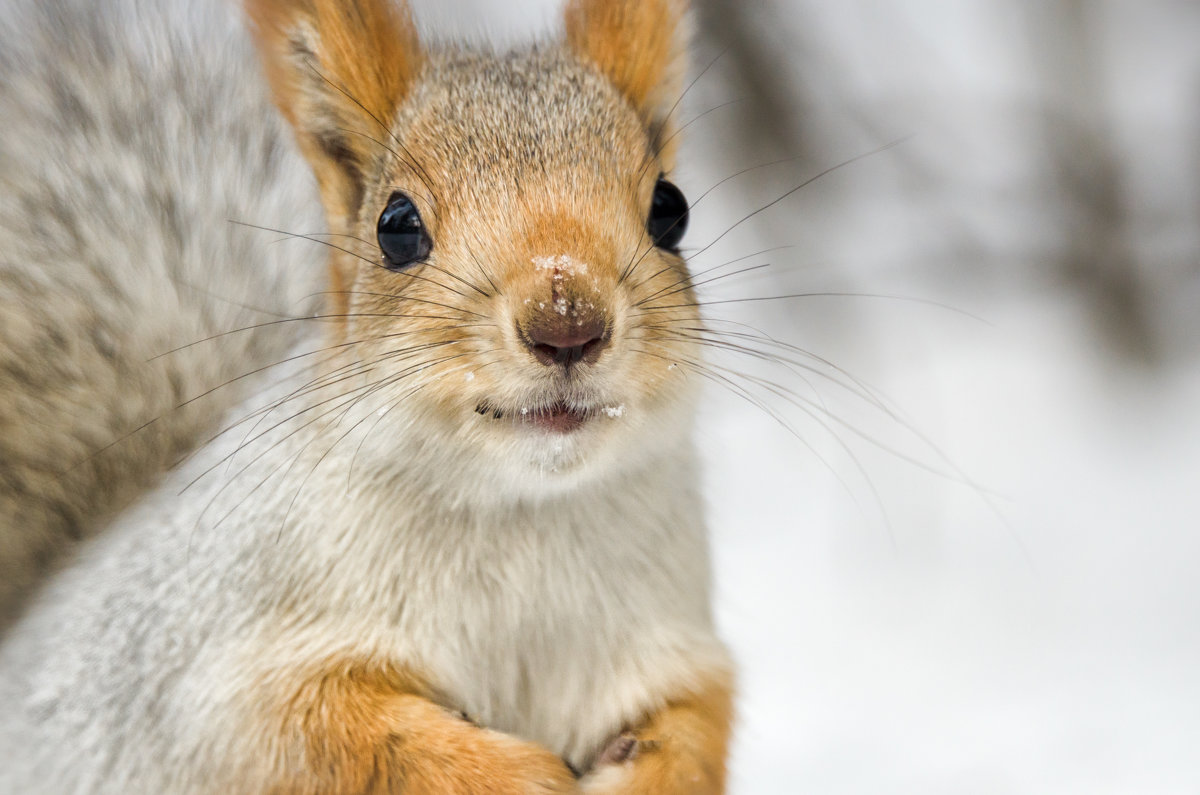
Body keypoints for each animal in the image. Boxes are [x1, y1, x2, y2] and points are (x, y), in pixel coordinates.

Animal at [0, 0, 729, 792]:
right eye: (397, 226)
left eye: (671, 209)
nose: (567, 321)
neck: (522, 512)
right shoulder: (225, 670)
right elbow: (332, 736)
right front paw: (509, 773)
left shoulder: (674, 650)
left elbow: (693, 730)